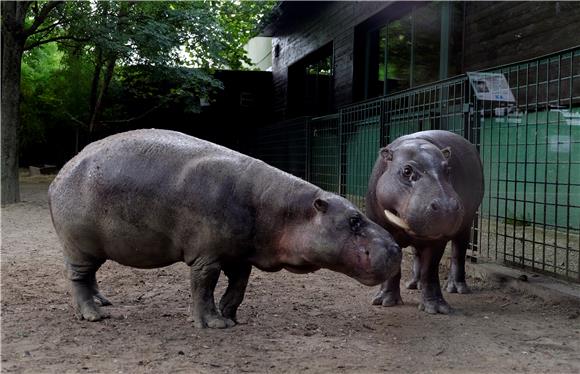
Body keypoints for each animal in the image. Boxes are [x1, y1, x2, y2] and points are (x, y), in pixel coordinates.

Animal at [49, 129, 402, 328]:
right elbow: (203, 287)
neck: (286, 211)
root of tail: (60, 173)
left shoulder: (240, 256)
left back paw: (103, 302)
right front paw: (213, 324)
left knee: (90, 277)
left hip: (93, 249)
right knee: (78, 279)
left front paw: (231, 319)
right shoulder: (208, 257)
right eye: (354, 220)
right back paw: (94, 316)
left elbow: (238, 288)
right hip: (79, 246)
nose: (397, 247)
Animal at [368, 130, 484, 314]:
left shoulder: (437, 239)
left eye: (448, 169)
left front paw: (436, 308)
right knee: (417, 253)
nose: (446, 207)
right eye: (406, 170)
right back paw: (413, 284)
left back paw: (456, 288)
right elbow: (394, 267)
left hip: (466, 225)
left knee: (458, 253)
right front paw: (384, 301)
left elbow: (430, 270)